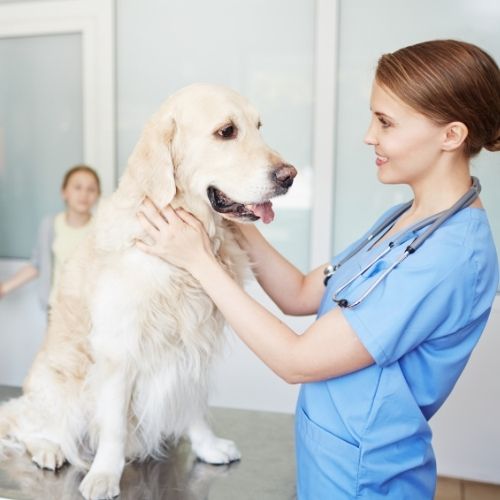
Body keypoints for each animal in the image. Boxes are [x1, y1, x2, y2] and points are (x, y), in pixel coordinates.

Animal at [0, 84, 296, 498]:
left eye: (258, 126)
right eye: (226, 131)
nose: (290, 176)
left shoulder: (193, 344)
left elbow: (194, 405)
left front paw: (207, 446)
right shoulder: (118, 348)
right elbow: (112, 426)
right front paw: (105, 475)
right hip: (60, 385)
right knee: (27, 423)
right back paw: (48, 448)